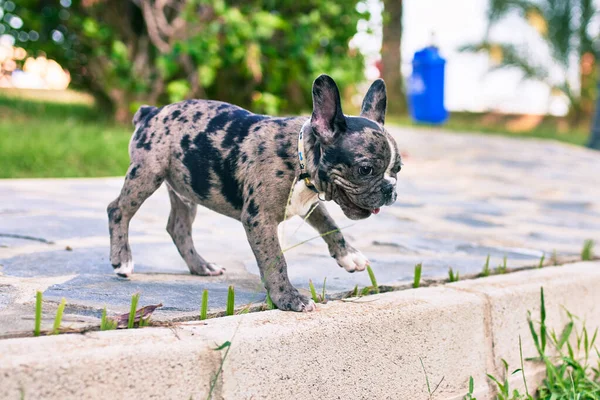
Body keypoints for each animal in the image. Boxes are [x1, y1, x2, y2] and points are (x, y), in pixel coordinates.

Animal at [106, 75, 400, 312]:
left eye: (397, 169)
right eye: (365, 169)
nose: (390, 189)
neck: (300, 160)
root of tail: (151, 112)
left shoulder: (309, 204)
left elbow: (330, 225)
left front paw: (348, 255)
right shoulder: (260, 220)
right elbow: (275, 260)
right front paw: (288, 298)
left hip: (186, 189)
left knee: (177, 227)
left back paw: (201, 266)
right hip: (147, 173)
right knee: (118, 209)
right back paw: (122, 260)